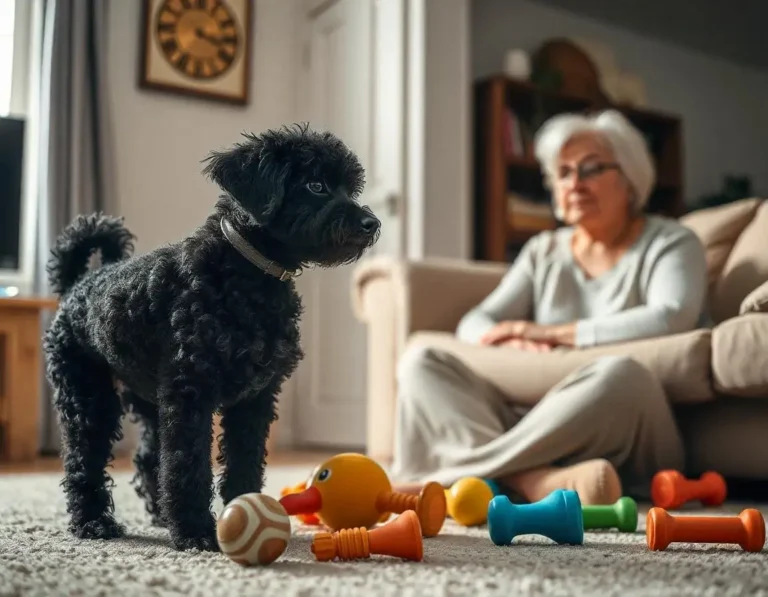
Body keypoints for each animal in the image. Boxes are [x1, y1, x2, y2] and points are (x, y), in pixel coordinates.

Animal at [41, 124, 380, 548]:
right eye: (316, 185)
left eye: (350, 188)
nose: (373, 223)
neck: (246, 276)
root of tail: (77, 284)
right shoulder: (191, 393)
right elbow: (189, 466)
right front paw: (196, 532)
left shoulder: (255, 397)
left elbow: (243, 461)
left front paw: (248, 512)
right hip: (88, 397)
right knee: (83, 460)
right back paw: (93, 523)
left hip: (147, 398)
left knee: (148, 458)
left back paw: (157, 515)